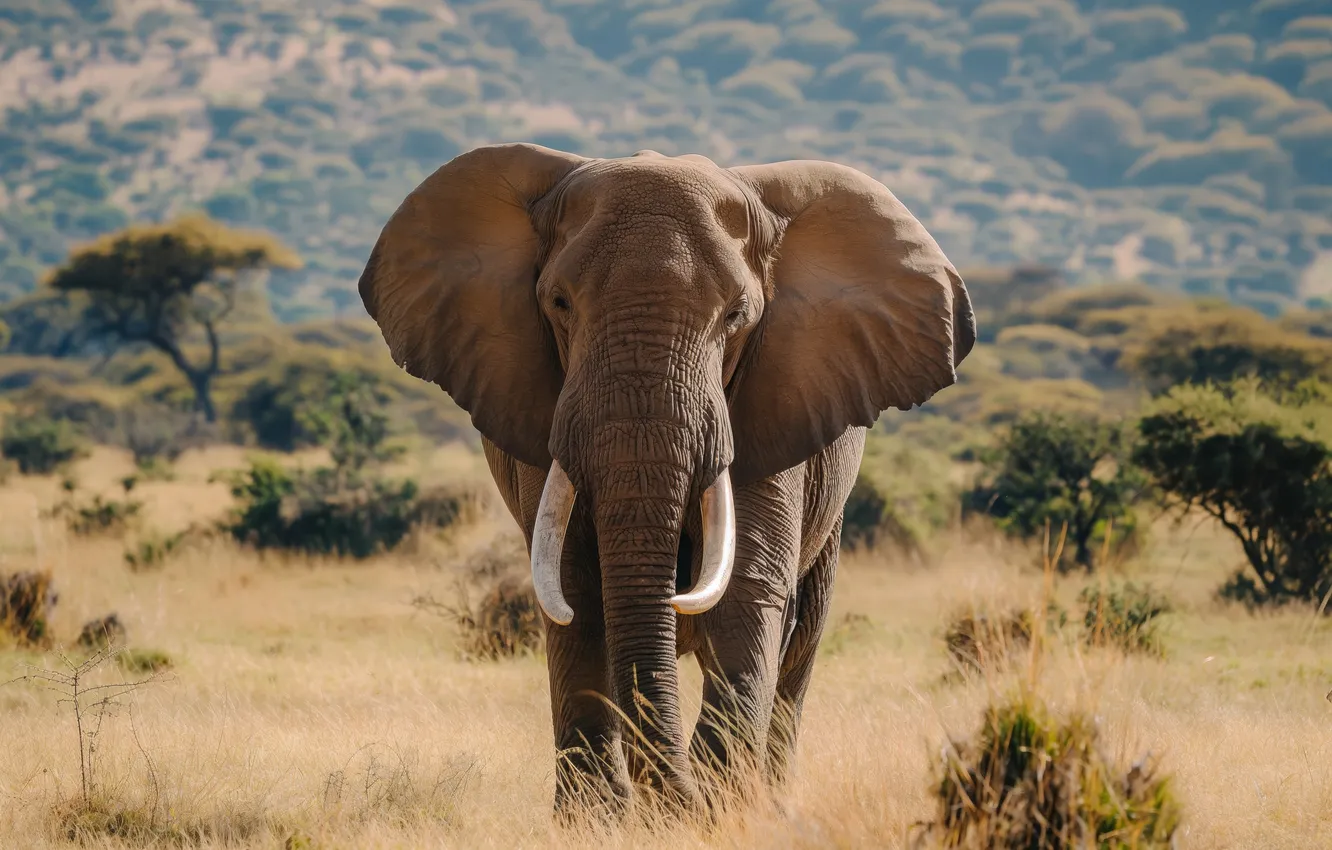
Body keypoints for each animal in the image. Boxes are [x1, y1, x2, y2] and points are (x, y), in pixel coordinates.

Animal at [357, 143, 975, 814]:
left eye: (737, 316)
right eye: (559, 303)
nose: (678, 802)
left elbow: (745, 591)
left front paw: (715, 811)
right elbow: (574, 589)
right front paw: (603, 821)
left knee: (802, 637)